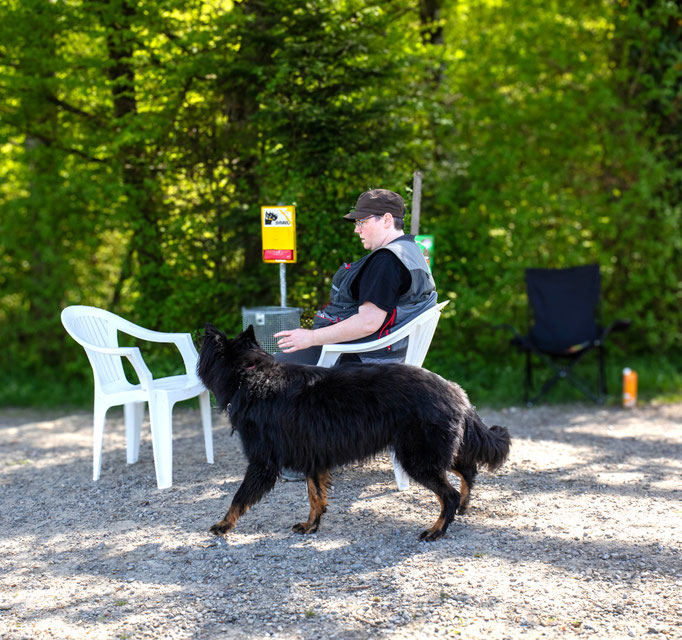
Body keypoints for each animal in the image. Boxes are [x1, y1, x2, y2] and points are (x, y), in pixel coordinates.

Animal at [198, 324, 511, 541]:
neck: (252, 374)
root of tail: (454, 390)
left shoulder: (262, 462)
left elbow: (239, 497)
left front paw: (223, 525)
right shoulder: (313, 457)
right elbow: (315, 495)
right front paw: (312, 525)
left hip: (417, 459)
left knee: (449, 495)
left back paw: (436, 530)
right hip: (433, 453)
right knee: (468, 470)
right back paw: (464, 508)